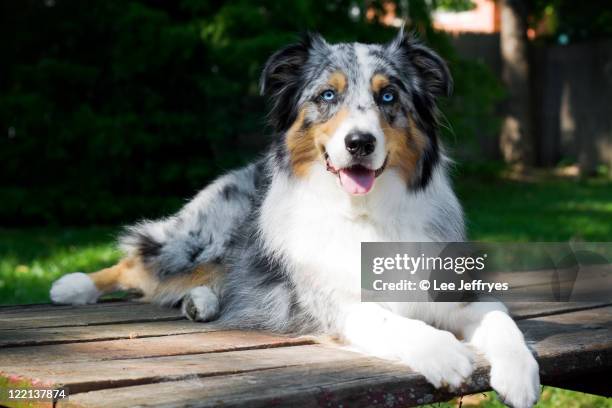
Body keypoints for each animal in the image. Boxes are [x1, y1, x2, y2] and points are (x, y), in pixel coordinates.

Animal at [52, 30, 540, 406]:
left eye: (388, 95)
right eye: (327, 95)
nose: (360, 142)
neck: (364, 213)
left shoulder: (454, 290)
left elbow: (500, 318)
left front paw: (520, 375)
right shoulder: (334, 306)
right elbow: (389, 320)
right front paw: (444, 352)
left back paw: (201, 302)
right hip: (199, 241)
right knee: (140, 261)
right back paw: (73, 286)